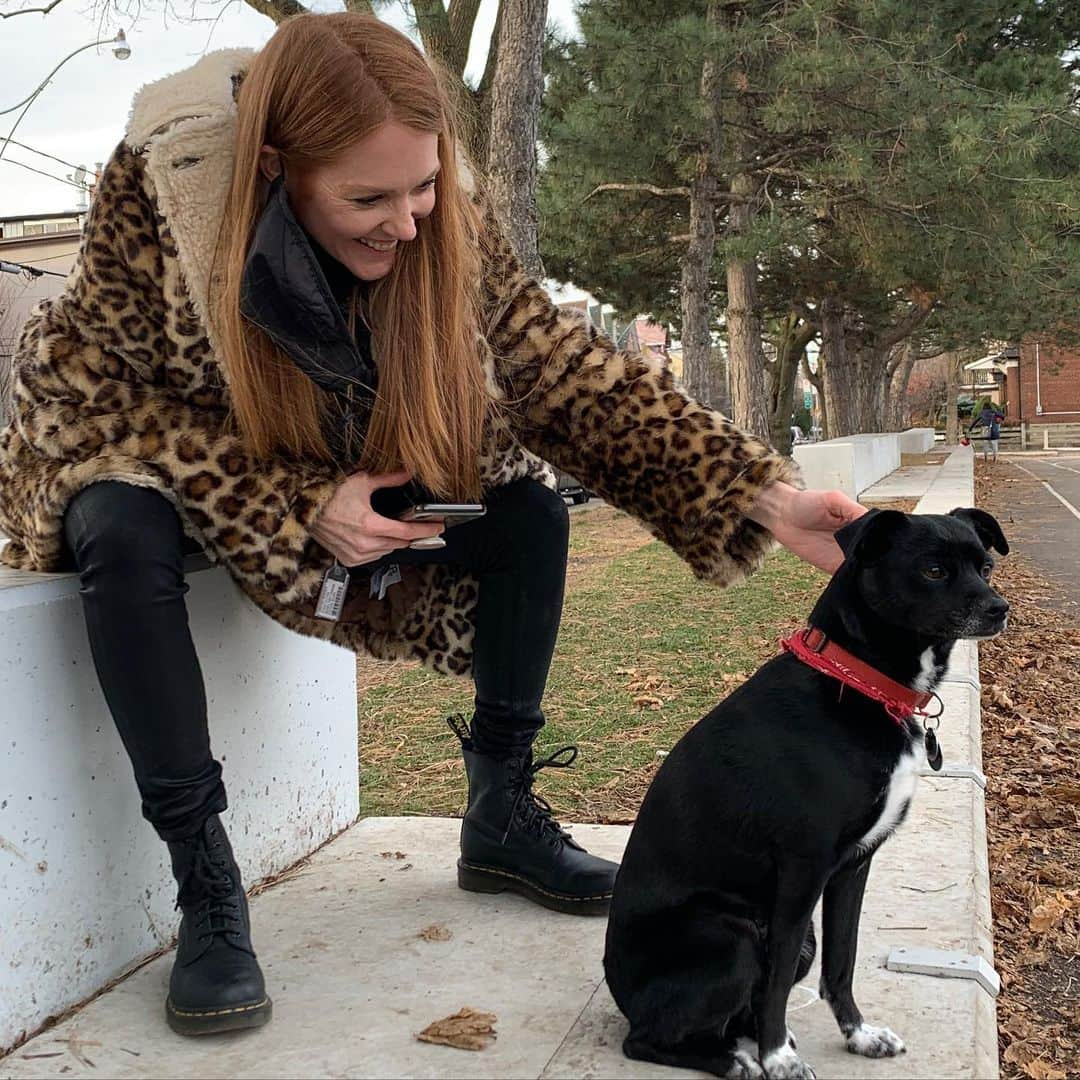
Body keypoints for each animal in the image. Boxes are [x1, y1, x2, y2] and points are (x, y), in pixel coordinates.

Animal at [604, 507, 1006, 1080]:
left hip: (788, 939)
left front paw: (858, 1035)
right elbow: (775, 987)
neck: (858, 682)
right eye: (933, 570)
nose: (999, 609)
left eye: (986, 566)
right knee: (645, 1039)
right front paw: (780, 1059)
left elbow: (843, 961)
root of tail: (622, 995)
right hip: (733, 934)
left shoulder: (853, 867)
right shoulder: (802, 871)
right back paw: (738, 1060)